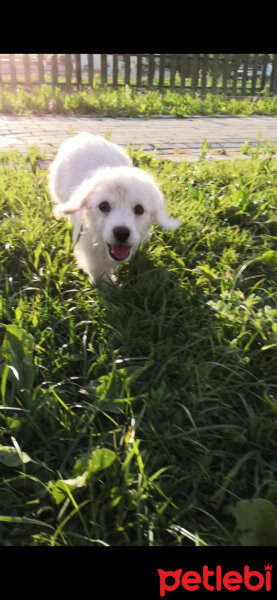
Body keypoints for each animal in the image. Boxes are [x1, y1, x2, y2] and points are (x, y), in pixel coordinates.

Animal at [48, 134, 180, 288]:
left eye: (139, 209)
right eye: (103, 206)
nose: (121, 233)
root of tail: (84, 135)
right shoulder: (89, 248)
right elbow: (97, 270)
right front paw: (105, 287)